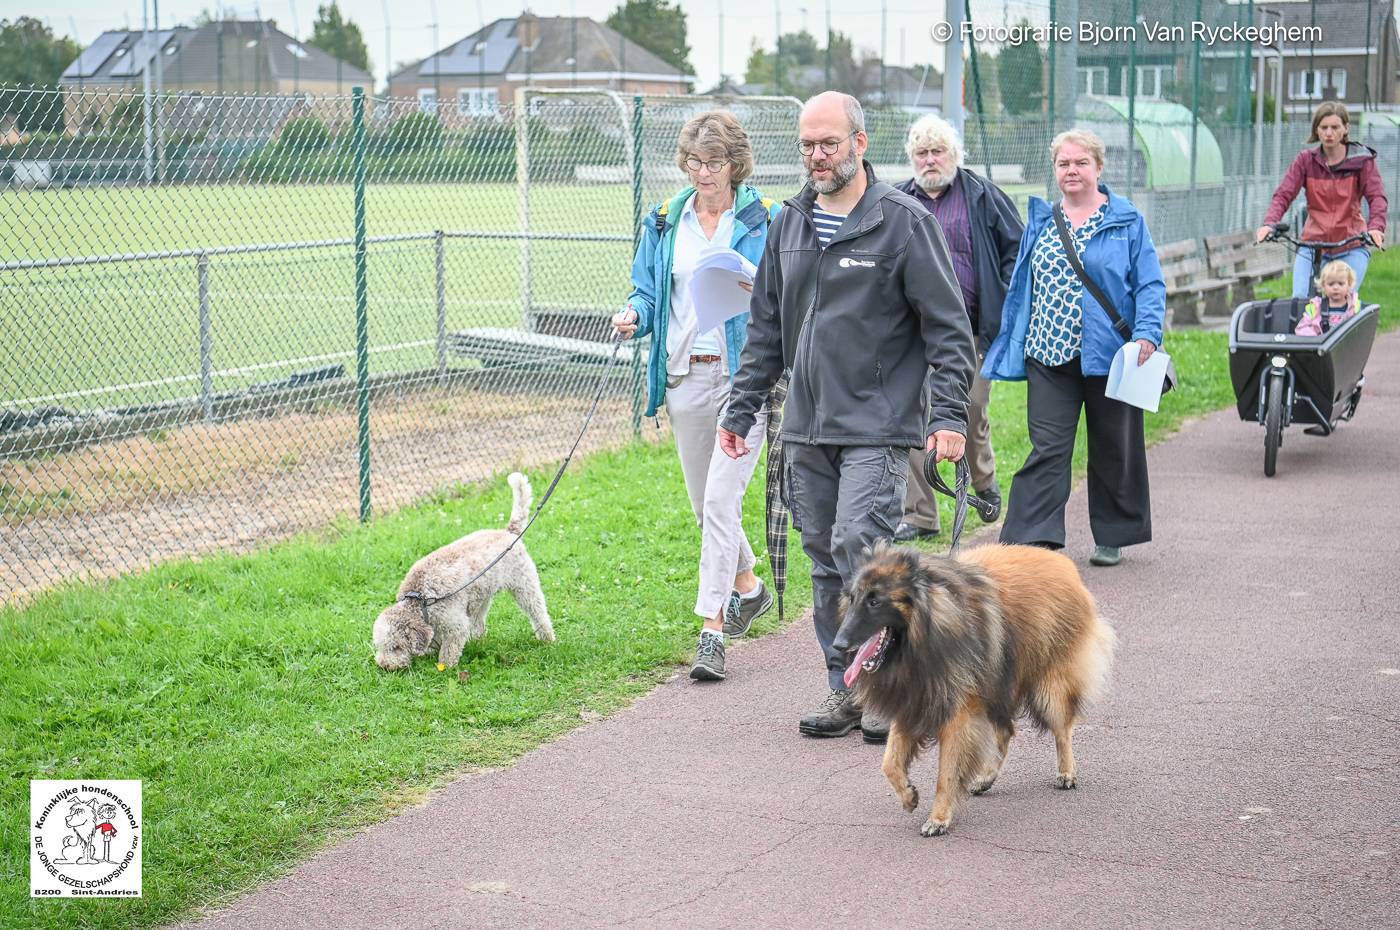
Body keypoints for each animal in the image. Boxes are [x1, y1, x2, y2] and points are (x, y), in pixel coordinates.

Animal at [375, 476, 554, 672]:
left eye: (397, 647)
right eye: (380, 646)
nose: (385, 666)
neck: (421, 599)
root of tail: (509, 532)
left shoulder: (454, 623)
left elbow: (449, 649)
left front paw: (445, 667)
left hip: (524, 585)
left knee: (538, 612)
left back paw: (547, 638)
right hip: (482, 596)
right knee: (479, 623)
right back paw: (478, 640)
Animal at [828, 540, 1114, 840]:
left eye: (875, 601)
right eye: (852, 598)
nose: (838, 644)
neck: (929, 629)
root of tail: (1065, 566)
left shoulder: (959, 715)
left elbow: (946, 774)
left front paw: (939, 818)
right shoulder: (914, 700)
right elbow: (890, 762)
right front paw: (908, 795)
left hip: (1049, 689)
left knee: (1062, 729)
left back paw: (1067, 773)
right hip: (996, 686)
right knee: (1006, 731)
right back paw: (985, 778)